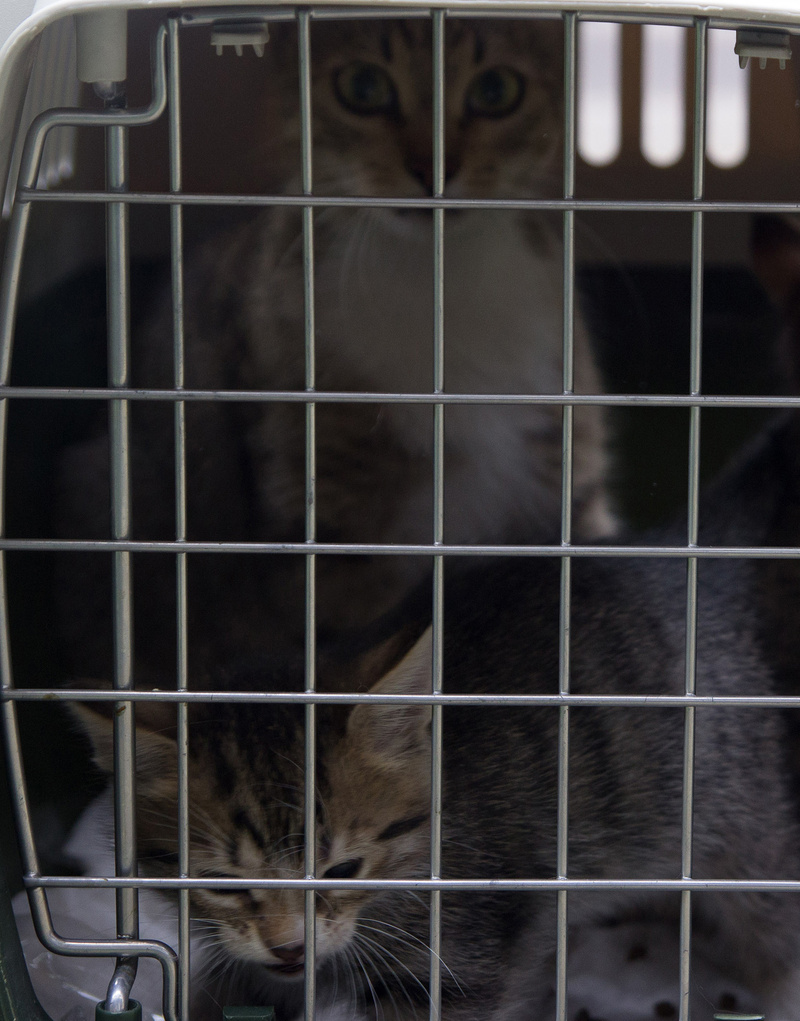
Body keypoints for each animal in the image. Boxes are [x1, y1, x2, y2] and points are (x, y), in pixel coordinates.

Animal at [55, 15, 613, 688]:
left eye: (496, 89)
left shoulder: (567, 477)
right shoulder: (331, 532)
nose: (434, 167)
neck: (440, 284)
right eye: (364, 87)